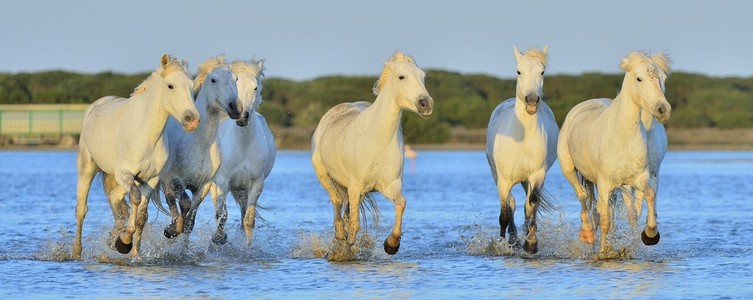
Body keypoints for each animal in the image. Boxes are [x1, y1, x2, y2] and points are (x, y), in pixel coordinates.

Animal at [75, 54, 198, 260]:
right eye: (170, 86)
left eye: (191, 86)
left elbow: (141, 216)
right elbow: (134, 198)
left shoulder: (151, 179)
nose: (192, 120)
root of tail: (97, 104)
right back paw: (76, 250)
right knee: (82, 209)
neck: (146, 134)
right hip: (87, 169)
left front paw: (133, 252)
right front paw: (124, 240)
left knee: (116, 200)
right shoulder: (125, 173)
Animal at [207, 59, 274, 246]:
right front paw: (218, 238)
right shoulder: (222, 183)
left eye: (255, 87)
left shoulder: (256, 184)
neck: (242, 145)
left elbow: (249, 220)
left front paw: (248, 247)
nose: (242, 115)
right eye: (234, 84)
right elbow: (222, 215)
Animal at [310, 51, 432, 258]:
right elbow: (355, 223)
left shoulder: (390, 185)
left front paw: (391, 244)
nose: (425, 104)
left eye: (423, 76)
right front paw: (346, 251)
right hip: (324, 175)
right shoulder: (355, 186)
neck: (378, 140)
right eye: (401, 77)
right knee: (337, 202)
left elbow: (401, 204)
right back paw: (340, 238)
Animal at [488, 45, 560, 254]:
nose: (531, 101)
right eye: (518, 71)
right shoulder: (504, 179)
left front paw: (531, 243)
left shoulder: (537, 175)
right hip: (498, 176)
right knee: (510, 205)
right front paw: (503, 244)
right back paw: (512, 240)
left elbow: (532, 204)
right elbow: (505, 213)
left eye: (542, 71)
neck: (522, 138)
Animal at [556, 51, 672, 258]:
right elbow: (605, 220)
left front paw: (650, 235)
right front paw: (603, 253)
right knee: (583, 197)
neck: (623, 136)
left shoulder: (640, 178)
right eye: (639, 78)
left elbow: (648, 197)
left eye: (663, 78)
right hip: (569, 169)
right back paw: (588, 234)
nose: (662, 110)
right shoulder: (604, 182)